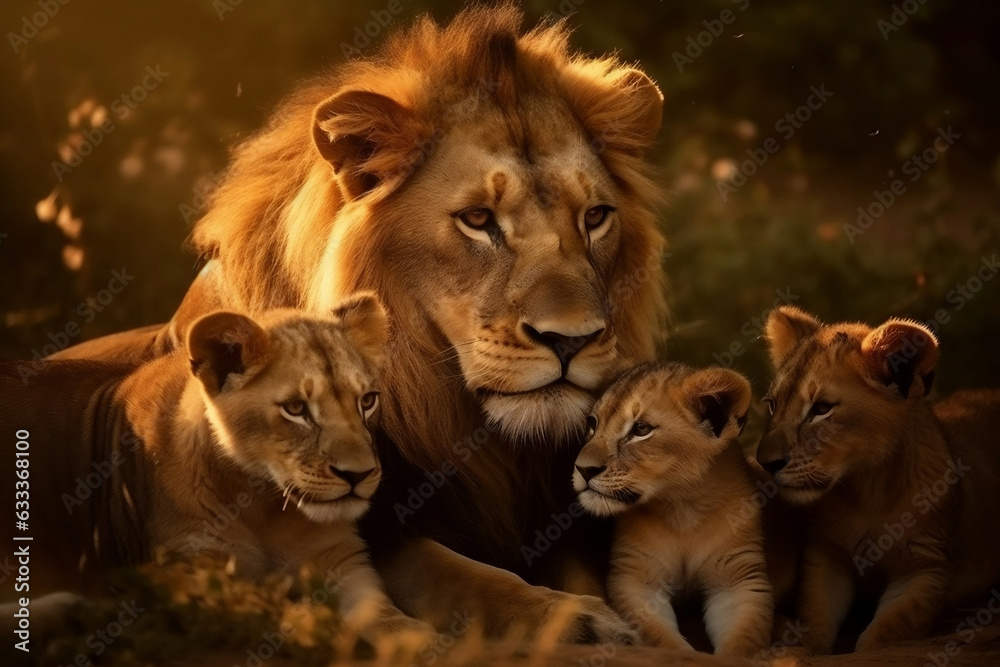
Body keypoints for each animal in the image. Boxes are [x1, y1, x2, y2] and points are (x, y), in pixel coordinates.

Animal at [1, 295, 431, 647]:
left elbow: (385, 615)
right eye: (296, 409)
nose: (359, 475)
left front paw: (423, 644)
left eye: (367, 401)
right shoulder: (187, 572)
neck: (265, 505)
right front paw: (315, 627)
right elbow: (267, 608)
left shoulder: (340, 557)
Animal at [51, 4, 667, 641]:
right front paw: (572, 620)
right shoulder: (371, 528)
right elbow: (467, 576)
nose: (573, 340)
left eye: (595, 217)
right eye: (477, 219)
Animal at [573, 363, 773, 656]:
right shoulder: (638, 579)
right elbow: (664, 641)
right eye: (592, 424)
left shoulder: (736, 581)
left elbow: (742, 642)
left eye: (641, 429)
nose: (583, 469)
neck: (682, 507)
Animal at [755, 306, 1000, 653]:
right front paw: (805, 643)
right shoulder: (827, 556)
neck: (866, 491)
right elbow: (815, 614)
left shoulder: (926, 568)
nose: (766, 463)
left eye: (821, 409)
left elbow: (884, 634)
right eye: (773, 405)